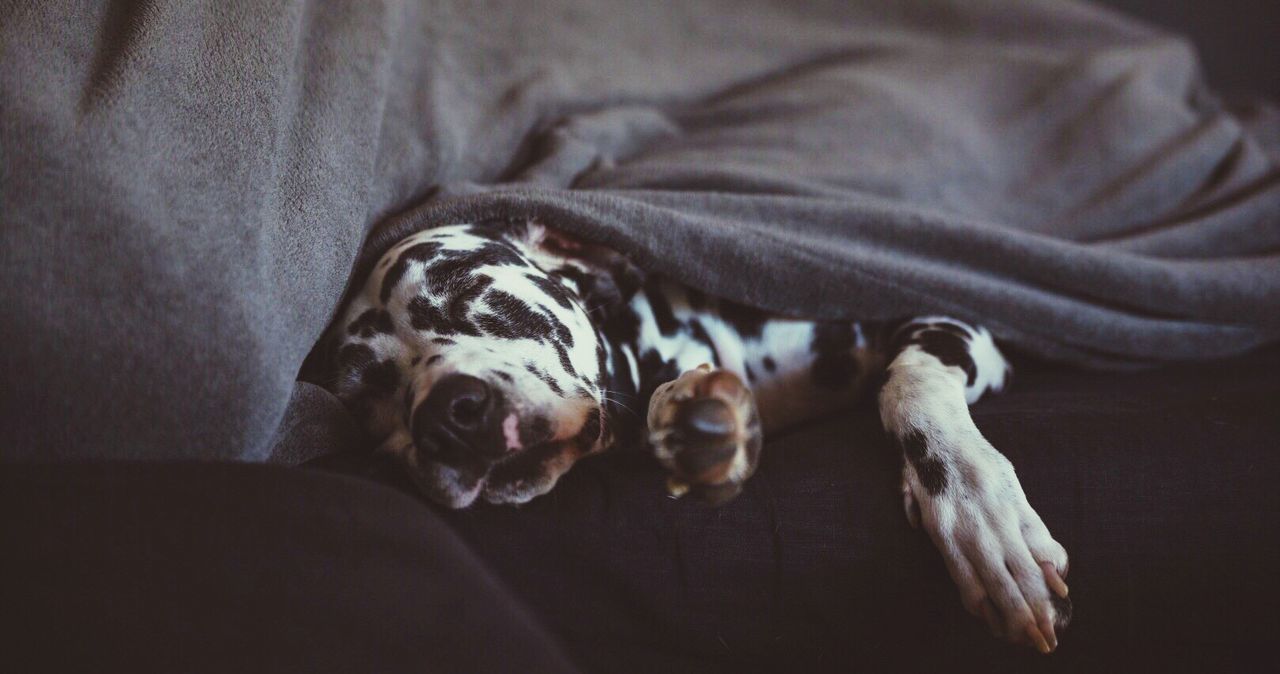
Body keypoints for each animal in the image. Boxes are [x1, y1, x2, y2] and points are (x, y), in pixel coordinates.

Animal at [320, 219, 1070, 654]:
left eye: (468, 290)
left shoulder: (953, 320)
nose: (447, 414)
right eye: (365, 392)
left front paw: (978, 515)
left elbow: (908, 381)